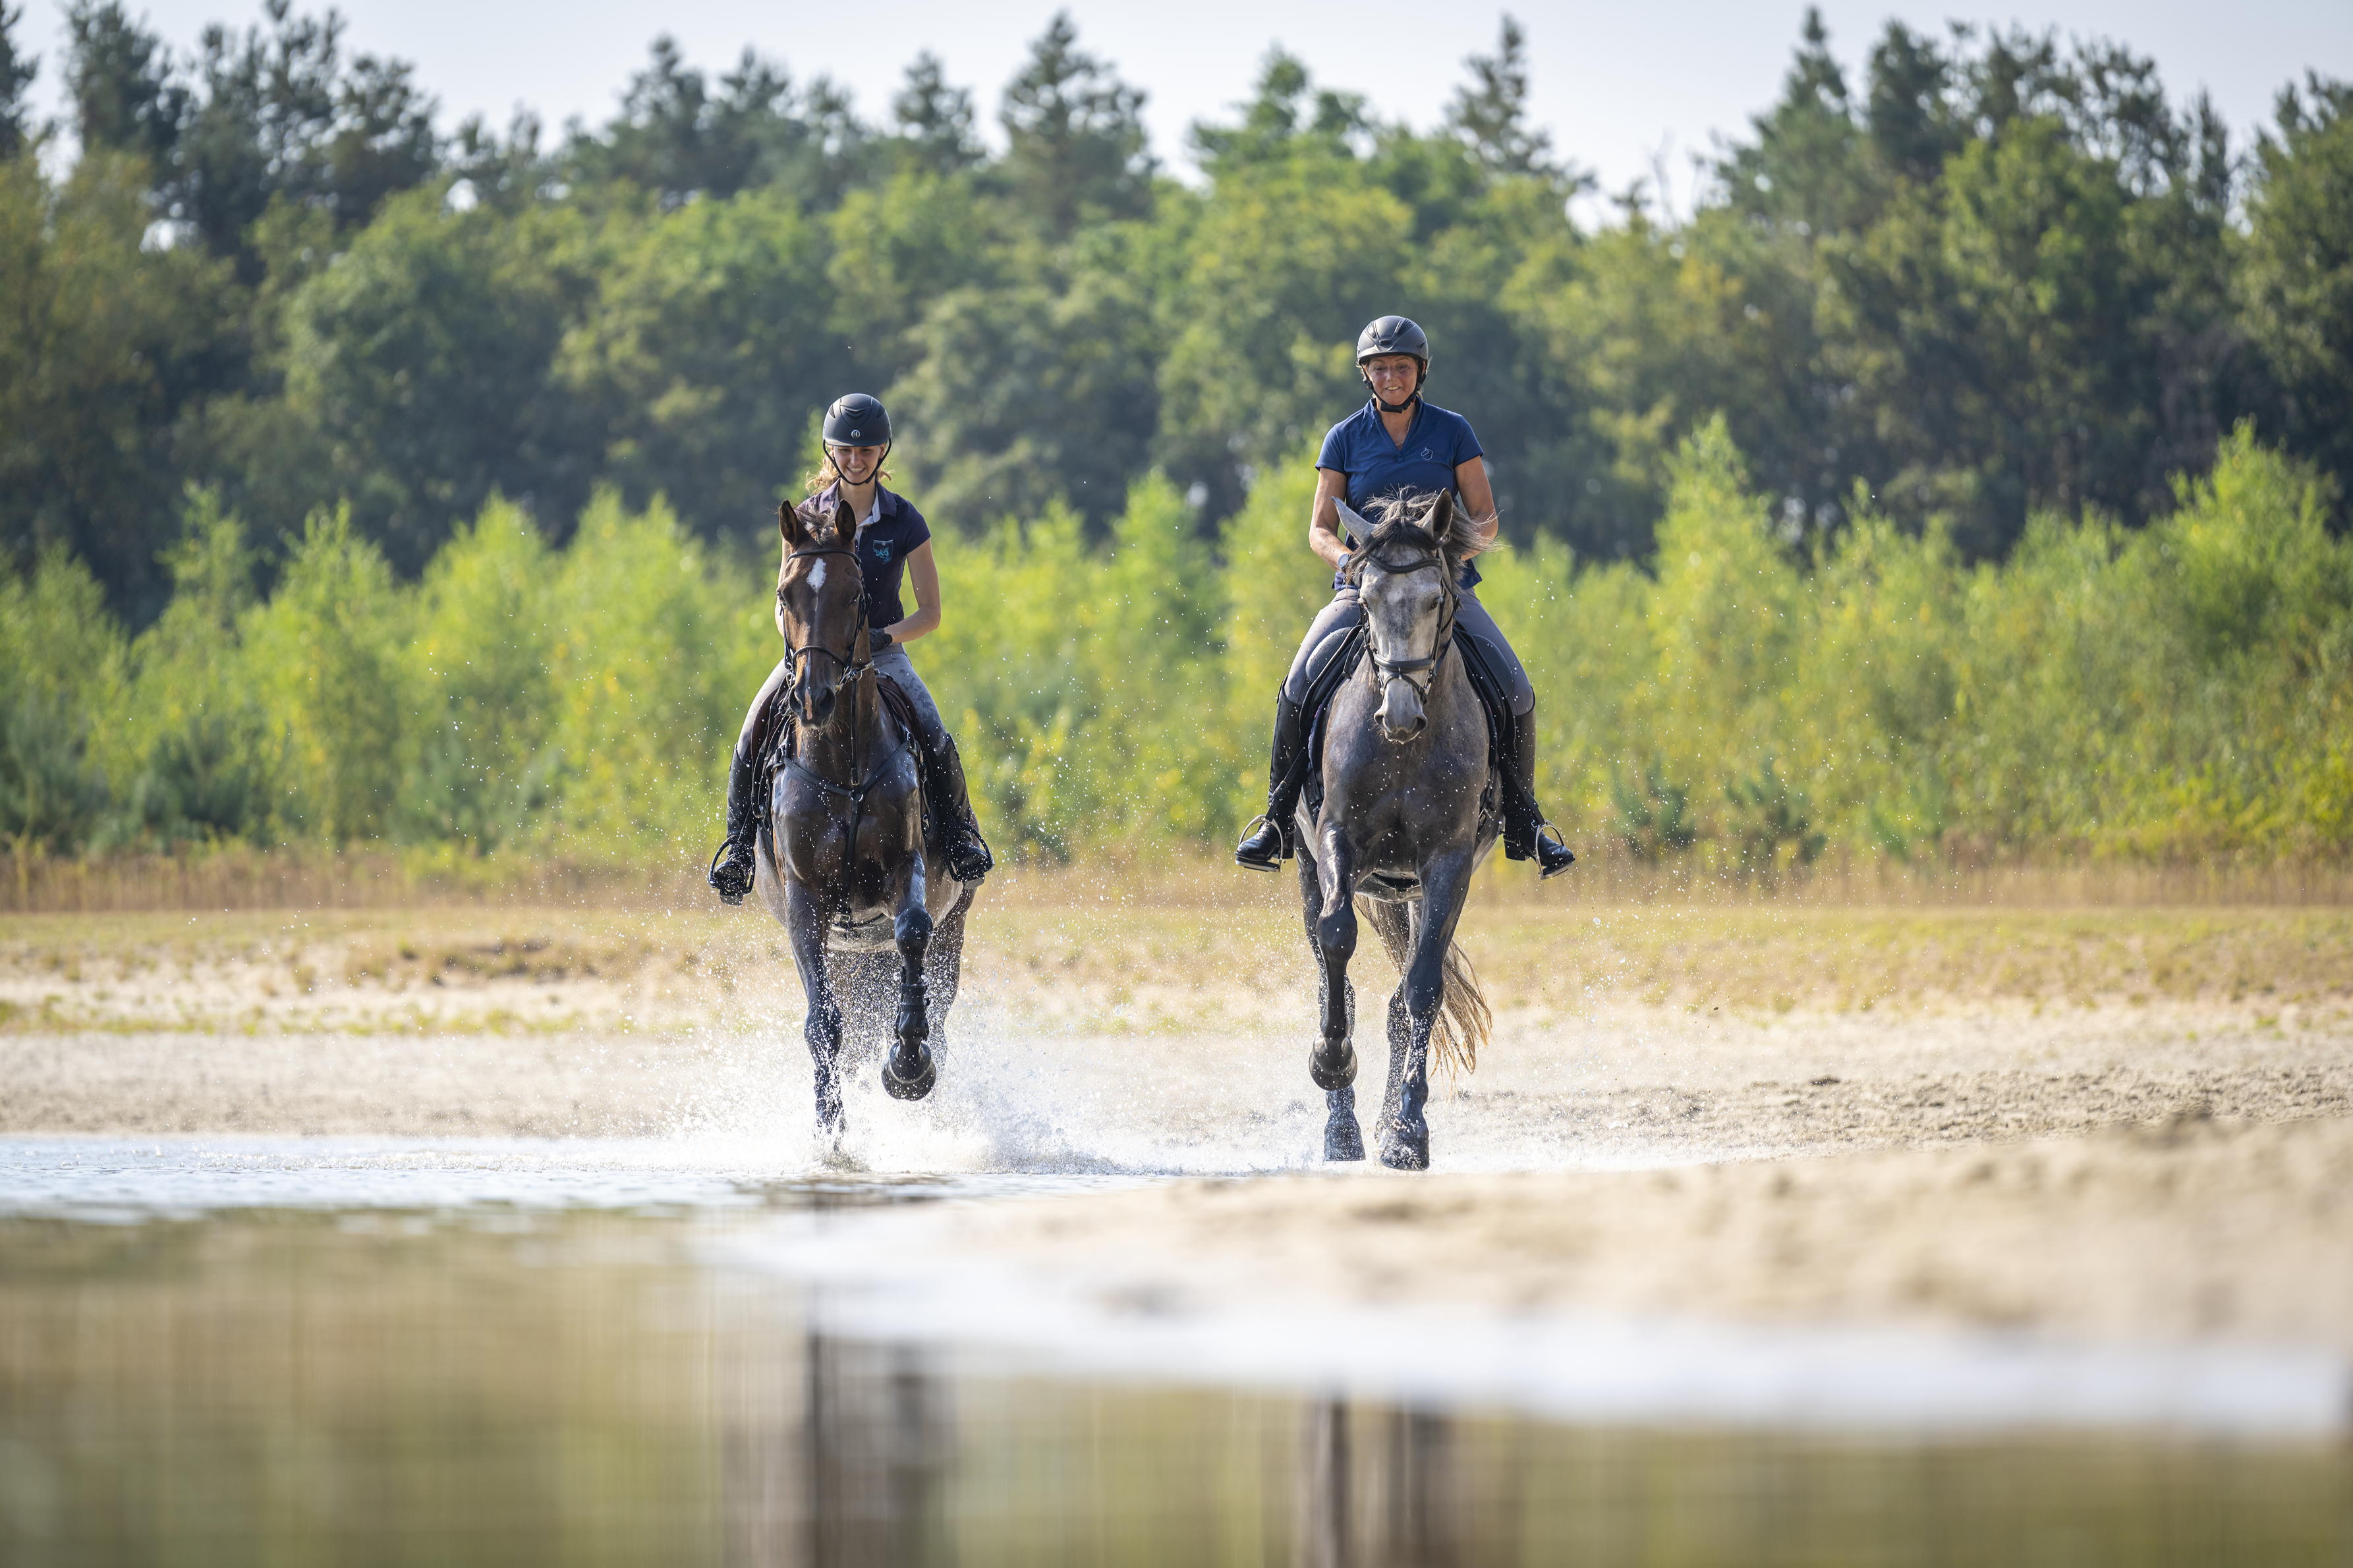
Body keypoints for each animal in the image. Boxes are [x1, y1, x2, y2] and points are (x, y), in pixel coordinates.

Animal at [752, 497, 974, 1134]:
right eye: (785, 595)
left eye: (855, 596)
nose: (813, 698)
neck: (842, 763)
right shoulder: (806, 902)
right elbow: (823, 1023)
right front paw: (831, 1130)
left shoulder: (906, 871)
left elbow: (912, 932)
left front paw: (908, 1068)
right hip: (848, 952)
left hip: (953, 927)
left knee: (935, 1004)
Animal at [1299, 494, 1496, 1167]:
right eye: (1365, 600)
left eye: (1436, 598)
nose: (1400, 713)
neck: (1403, 750)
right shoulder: (1336, 840)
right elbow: (1337, 939)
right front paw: (1330, 1063)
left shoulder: (1447, 865)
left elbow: (1422, 992)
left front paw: (1409, 1133)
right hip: (1307, 867)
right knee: (1335, 982)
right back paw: (1341, 1133)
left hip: (1413, 889)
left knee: (1398, 1002)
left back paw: (1385, 1125)